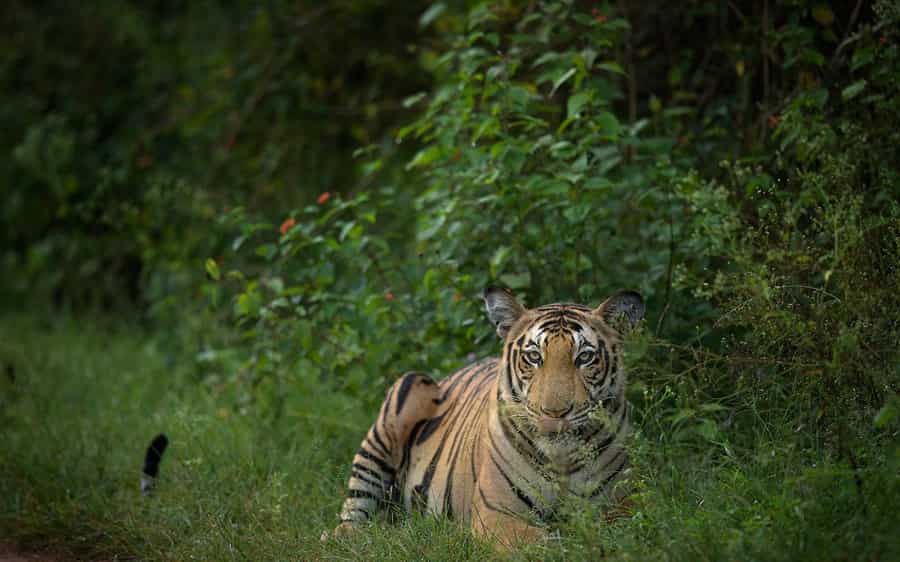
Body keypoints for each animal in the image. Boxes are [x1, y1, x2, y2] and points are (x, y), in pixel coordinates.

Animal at [334, 286, 644, 544]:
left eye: (585, 358)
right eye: (534, 357)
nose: (554, 412)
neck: (561, 461)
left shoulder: (624, 503)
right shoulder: (498, 513)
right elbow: (541, 544)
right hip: (408, 389)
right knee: (352, 514)